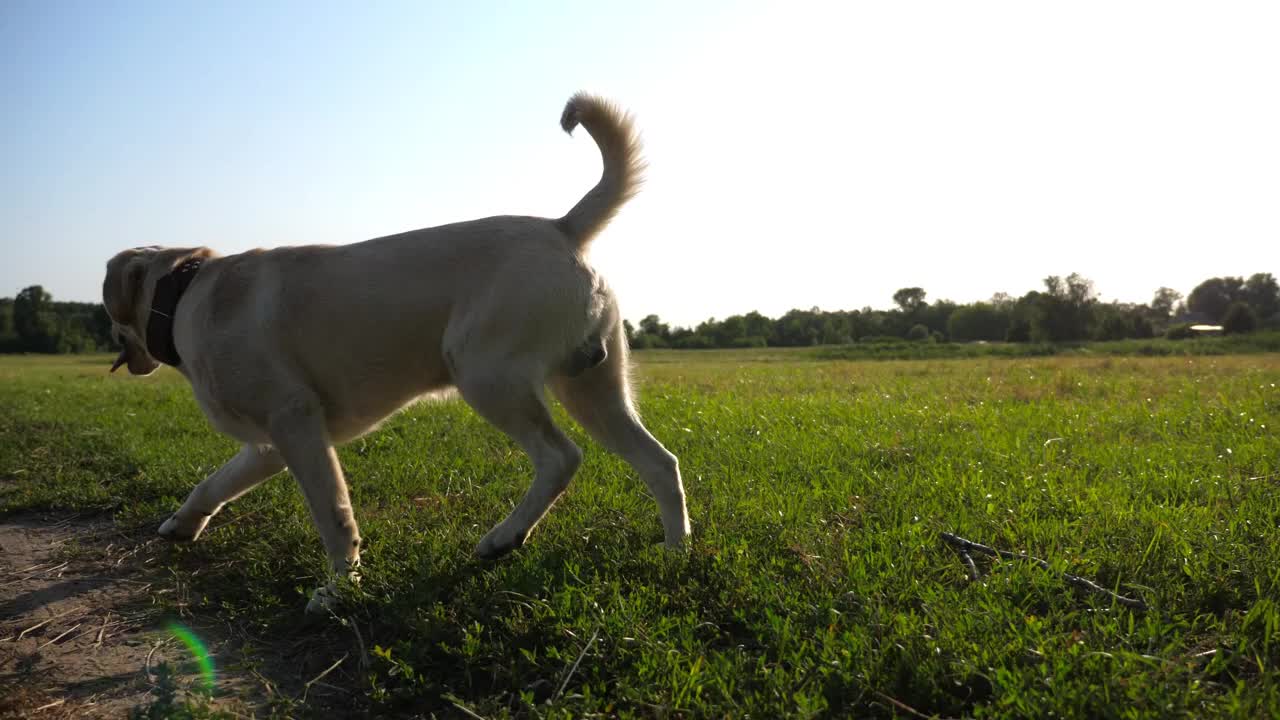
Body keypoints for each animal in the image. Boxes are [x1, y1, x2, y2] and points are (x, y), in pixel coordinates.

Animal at [99, 94, 691, 609]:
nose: (113, 346)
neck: (185, 295)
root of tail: (562, 227)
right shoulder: (269, 444)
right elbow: (214, 483)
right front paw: (180, 524)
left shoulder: (295, 422)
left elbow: (334, 518)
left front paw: (339, 591)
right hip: (595, 390)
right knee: (661, 463)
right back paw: (675, 554)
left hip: (488, 376)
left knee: (560, 457)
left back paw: (503, 538)